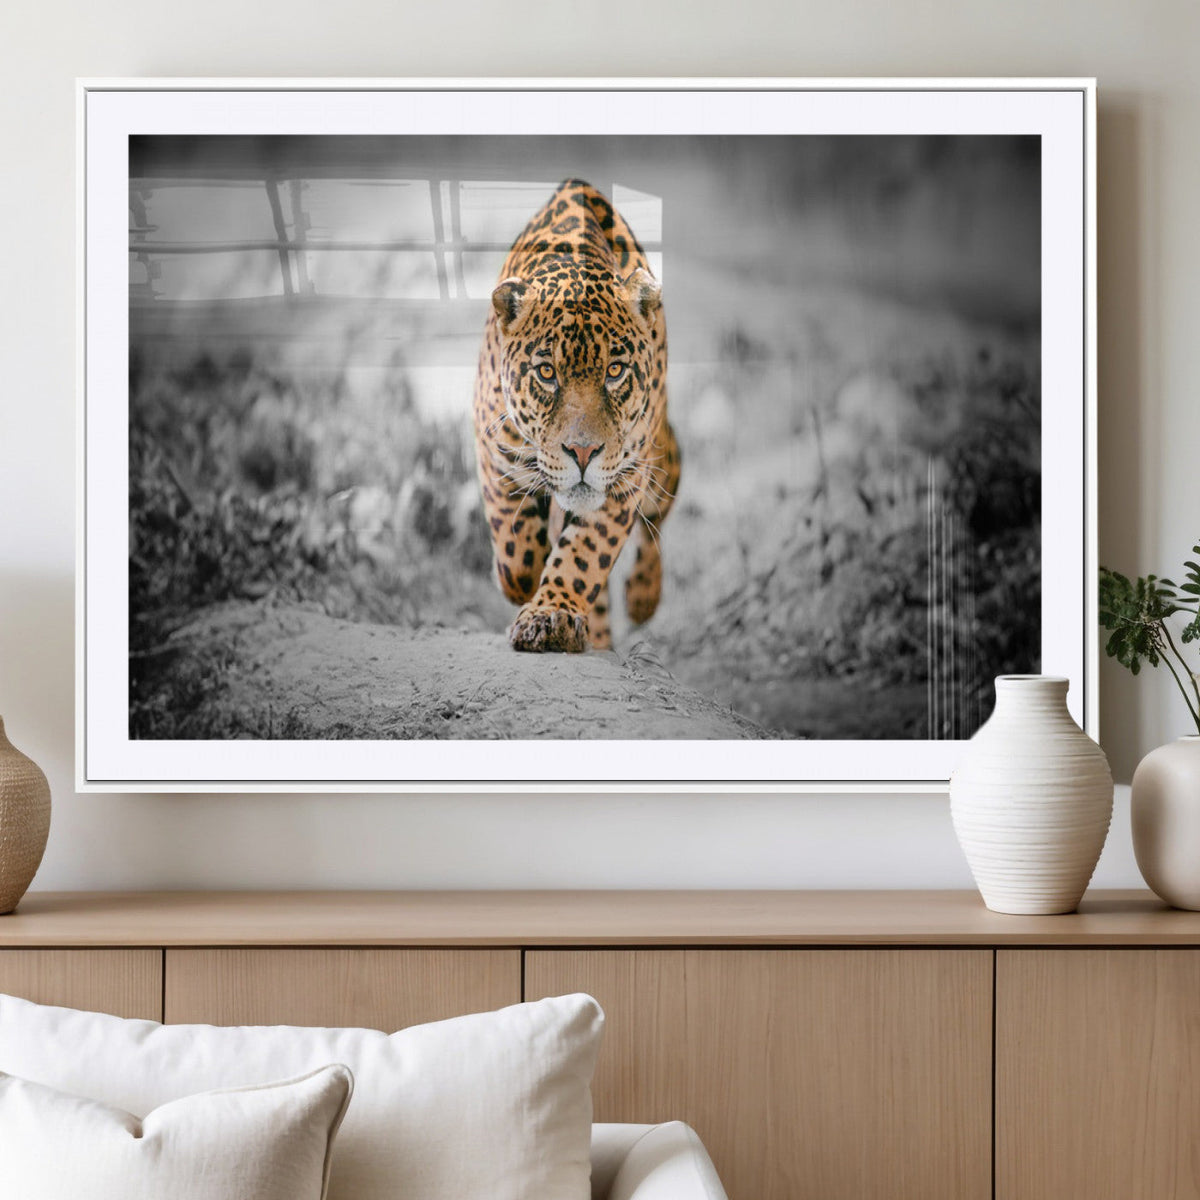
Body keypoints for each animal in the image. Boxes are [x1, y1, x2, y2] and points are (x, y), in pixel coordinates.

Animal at [472, 179, 681, 653]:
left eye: (615, 371)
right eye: (547, 373)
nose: (583, 453)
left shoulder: (625, 477)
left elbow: (584, 555)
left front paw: (551, 615)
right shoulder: (494, 450)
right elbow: (515, 549)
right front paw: (521, 582)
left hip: (662, 459)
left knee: (657, 521)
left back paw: (642, 598)